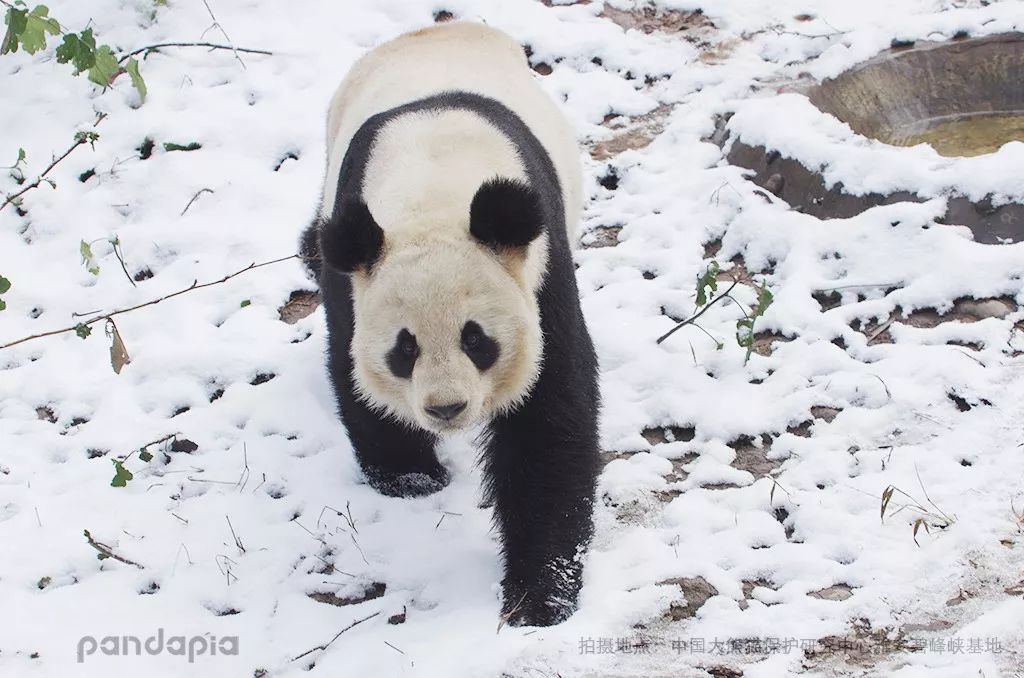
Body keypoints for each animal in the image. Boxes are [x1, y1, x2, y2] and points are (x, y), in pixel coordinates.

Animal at [299, 22, 598, 626]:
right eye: (404, 349)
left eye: (476, 339)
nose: (446, 409)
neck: (432, 193)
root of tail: (436, 29)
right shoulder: (355, 275)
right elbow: (350, 366)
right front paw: (410, 478)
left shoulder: (539, 270)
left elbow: (549, 417)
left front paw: (538, 599)